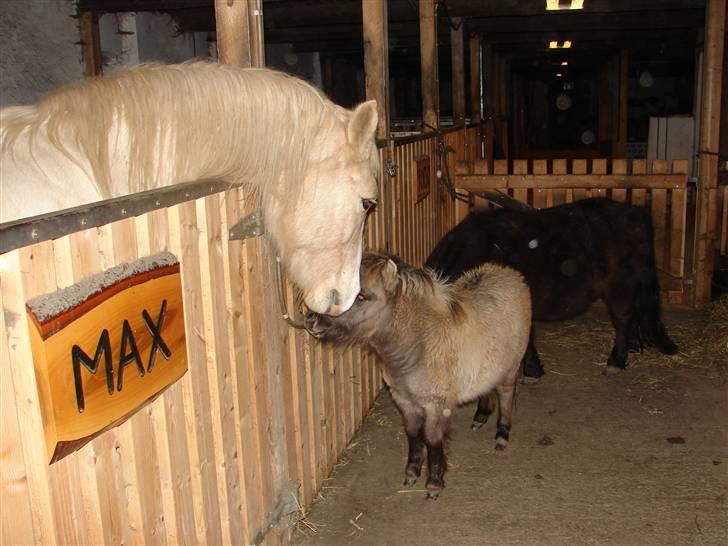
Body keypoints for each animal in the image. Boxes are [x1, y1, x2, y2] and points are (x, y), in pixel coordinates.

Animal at [424, 197, 680, 378]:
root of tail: (635, 213)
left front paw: (531, 369)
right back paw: (633, 348)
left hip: (620, 287)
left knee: (623, 319)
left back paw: (616, 360)